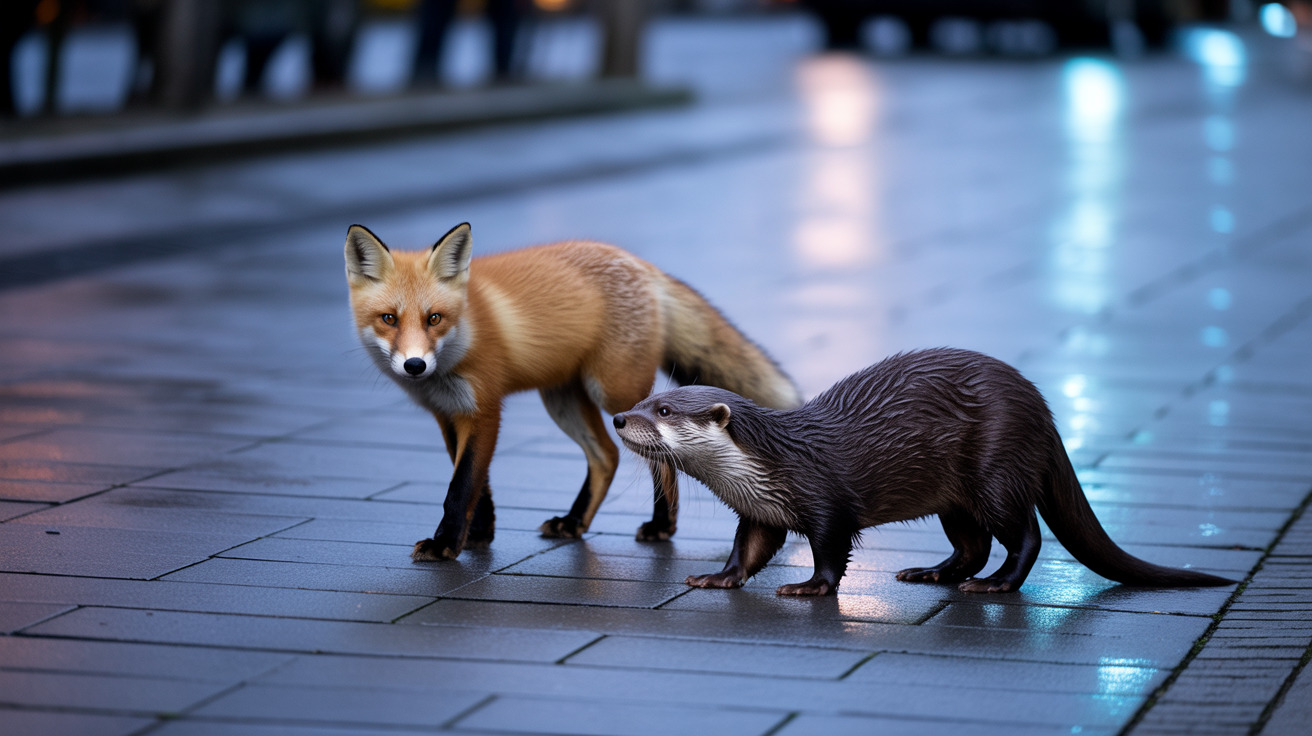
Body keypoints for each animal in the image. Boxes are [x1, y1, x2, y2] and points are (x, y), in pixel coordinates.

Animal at [345, 222, 802, 561]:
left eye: (434, 318)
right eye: (388, 319)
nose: (415, 365)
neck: (465, 336)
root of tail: (639, 262)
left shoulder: (484, 408)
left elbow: (462, 485)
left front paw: (445, 544)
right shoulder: (448, 414)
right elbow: (478, 483)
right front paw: (479, 534)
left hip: (614, 394)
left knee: (658, 456)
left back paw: (661, 526)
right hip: (562, 400)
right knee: (606, 455)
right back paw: (575, 522)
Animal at [612, 348, 1235, 596]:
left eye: (662, 410)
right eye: (643, 401)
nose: (619, 417)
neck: (770, 466)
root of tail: (1041, 407)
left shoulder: (826, 501)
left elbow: (830, 551)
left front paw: (808, 588)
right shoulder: (760, 511)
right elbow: (748, 551)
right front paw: (717, 579)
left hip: (995, 469)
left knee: (1024, 536)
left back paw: (995, 585)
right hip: (954, 499)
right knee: (972, 544)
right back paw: (929, 574)